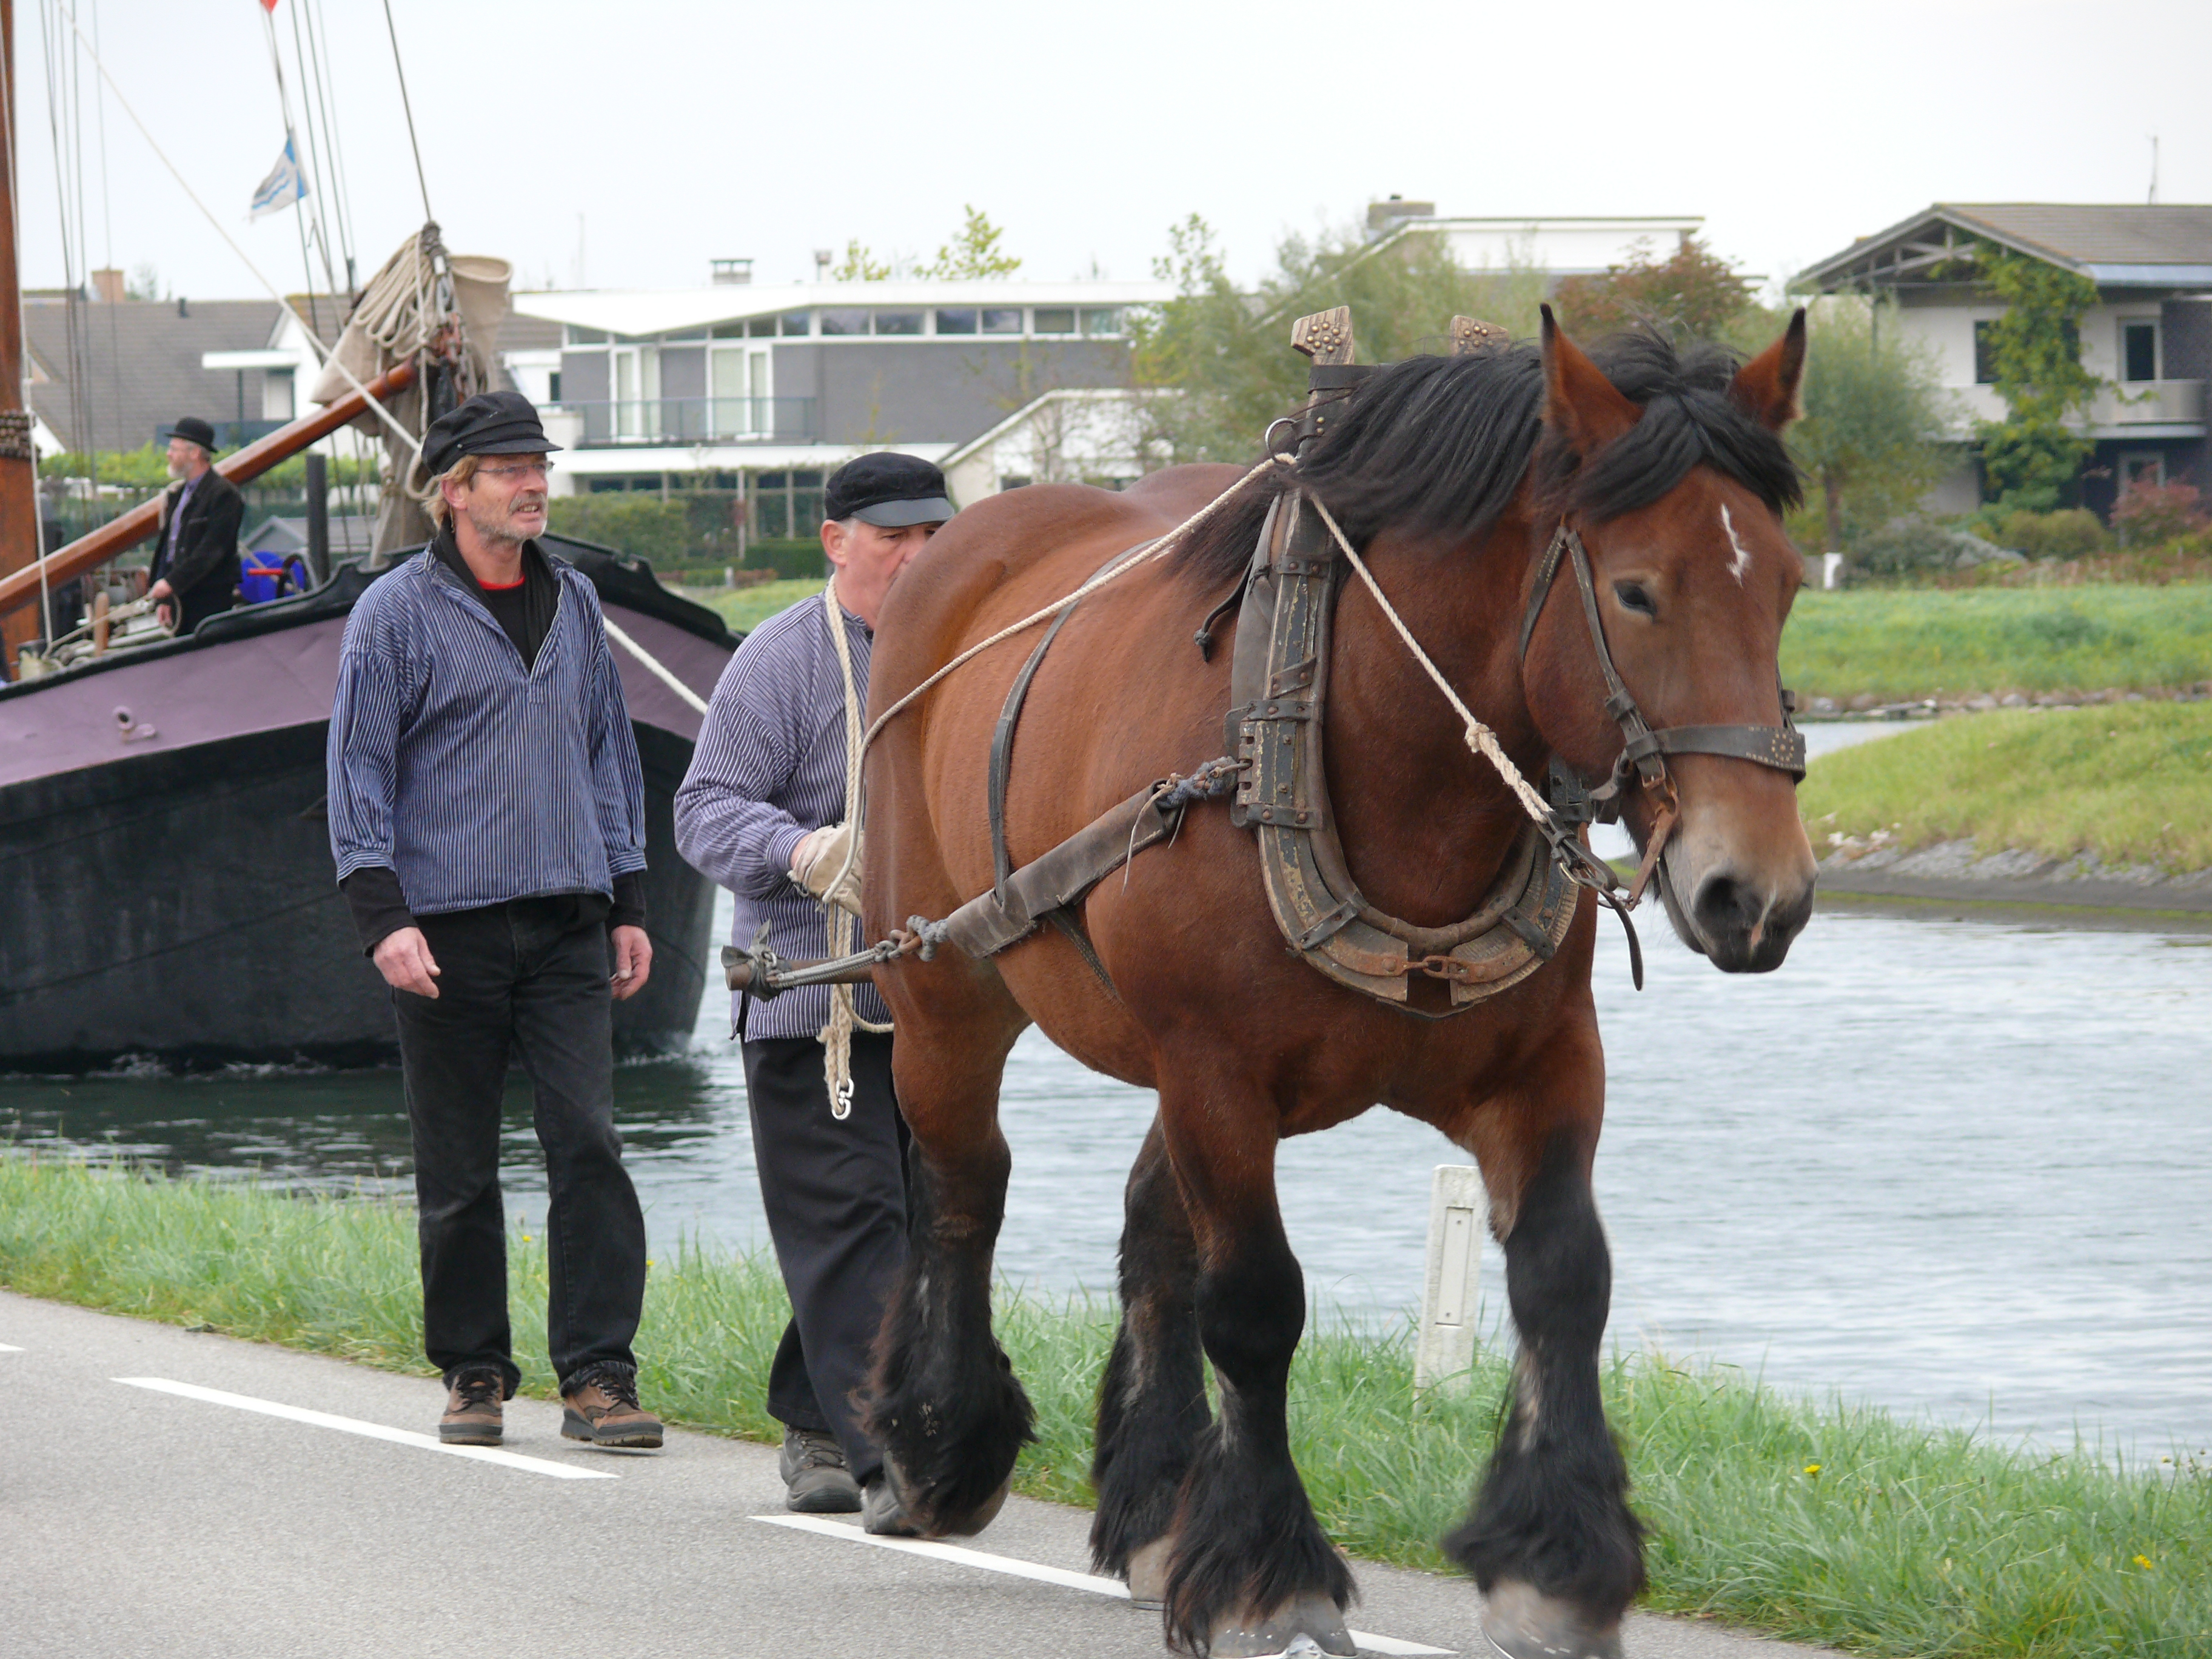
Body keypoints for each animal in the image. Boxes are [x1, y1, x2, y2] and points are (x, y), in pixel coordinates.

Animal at [854, 314, 1805, 1659]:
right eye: (1636, 591)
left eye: (1785, 584)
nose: (1754, 892)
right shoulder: (1214, 1069)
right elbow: (1255, 1305)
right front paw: (1267, 1575)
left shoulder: (1544, 1063)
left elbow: (1563, 1275)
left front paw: (1557, 1564)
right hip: (944, 984)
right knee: (962, 1187)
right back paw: (942, 1443)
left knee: (1150, 1231)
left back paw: (1157, 1504)